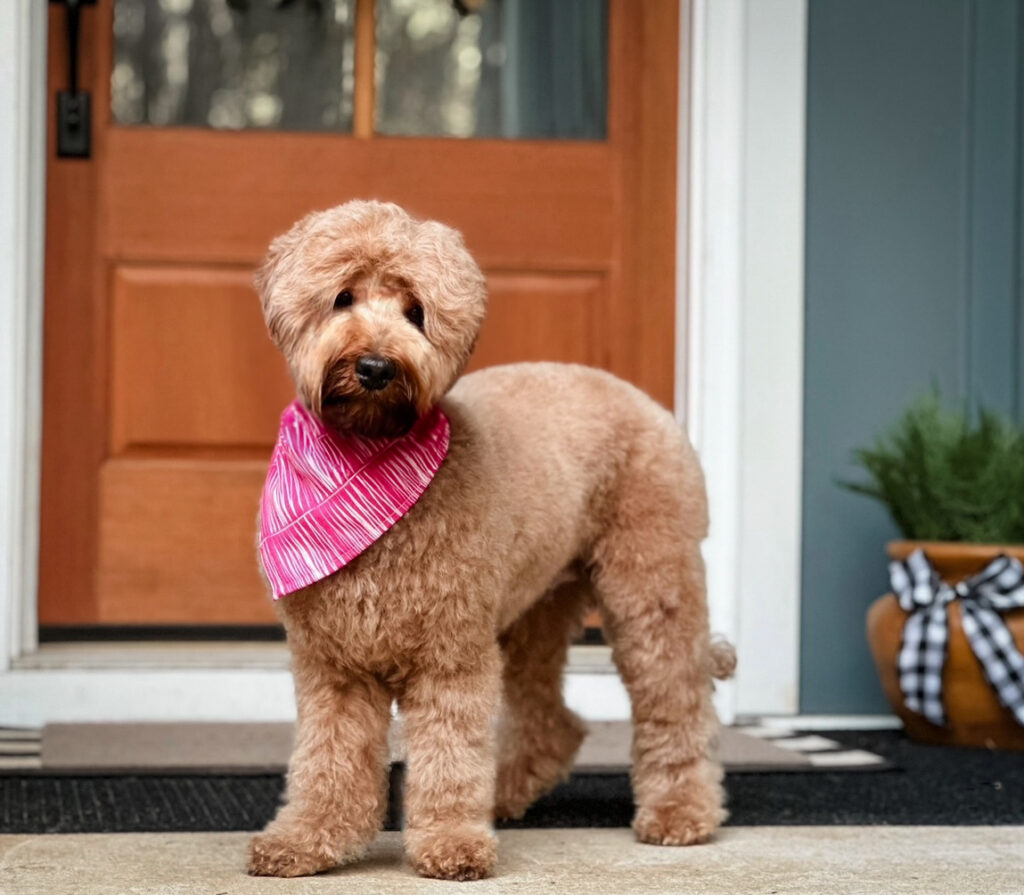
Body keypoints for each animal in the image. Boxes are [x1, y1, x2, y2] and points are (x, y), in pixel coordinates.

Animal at [247, 198, 737, 876]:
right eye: (342, 297)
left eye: (417, 313)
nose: (375, 366)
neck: (366, 459)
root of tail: (645, 401)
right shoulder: (334, 666)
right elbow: (328, 759)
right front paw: (307, 839)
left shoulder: (451, 656)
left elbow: (451, 755)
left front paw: (453, 843)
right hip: (534, 612)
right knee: (552, 719)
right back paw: (505, 793)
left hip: (651, 588)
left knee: (677, 701)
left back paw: (679, 813)